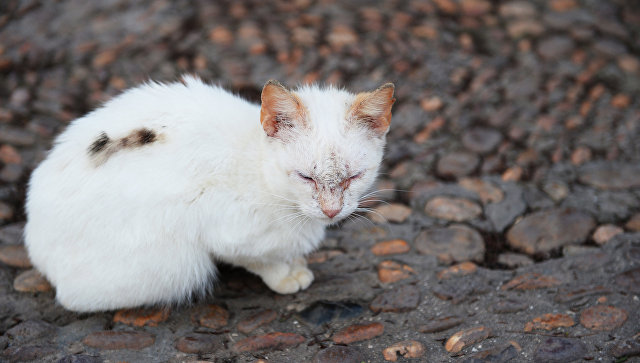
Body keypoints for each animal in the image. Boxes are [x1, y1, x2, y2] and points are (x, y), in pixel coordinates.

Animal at [23, 77, 396, 312]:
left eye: (354, 176)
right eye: (305, 177)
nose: (332, 212)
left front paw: (296, 263)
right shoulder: (227, 233)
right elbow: (261, 259)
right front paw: (286, 275)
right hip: (176, 264)